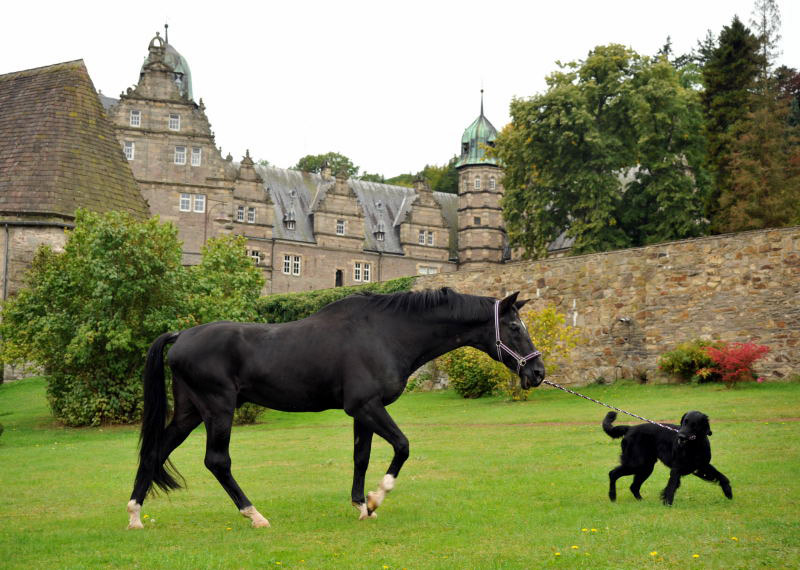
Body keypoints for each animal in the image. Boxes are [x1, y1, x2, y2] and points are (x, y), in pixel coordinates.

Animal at [128, 288, 544, 528]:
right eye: (514, 327)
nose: (538, 372)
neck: (384, 332)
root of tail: (182, 335)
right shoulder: (367, 406)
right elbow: (402, 446)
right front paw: (376, 498)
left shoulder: (363, 412)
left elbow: (361, 457)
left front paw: (361, 506)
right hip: (218, 410)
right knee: (217, 461)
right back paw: (254, 515)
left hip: (189, 414)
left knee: (155, 452)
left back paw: (135, 515)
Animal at [604, 408, 736, 502]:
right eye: (684, 422)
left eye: (694, 424)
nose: (680, 437)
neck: (694, 446)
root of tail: (630, 428)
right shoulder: (677, 468)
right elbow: (671, 486)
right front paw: (668, 503)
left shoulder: (702, 466)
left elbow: (722, 477)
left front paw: (728, 492)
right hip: (637, 463)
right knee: (613, 473)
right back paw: (612, 496)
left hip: (646, 467)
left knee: (633, 486)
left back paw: (641, 500)